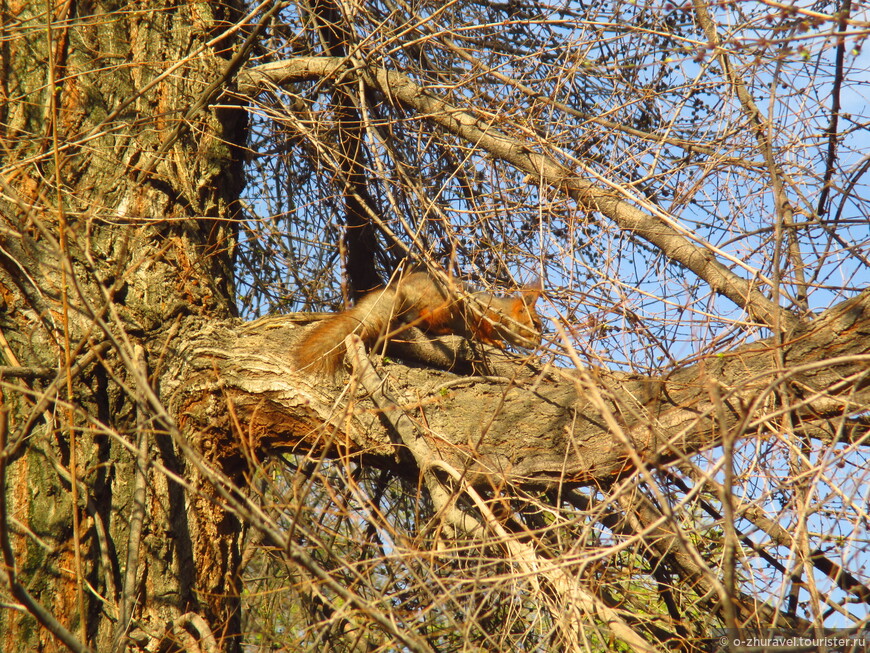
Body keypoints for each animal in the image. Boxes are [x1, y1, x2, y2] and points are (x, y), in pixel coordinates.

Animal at [296, 268, 540, 374]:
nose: (539, 343)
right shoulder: (479, 313)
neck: (501, 311)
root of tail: (403, 290)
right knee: (424, 318)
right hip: (443, 305)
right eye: (535, 323)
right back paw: (442, 329)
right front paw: (494, 342)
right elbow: (481, 331)